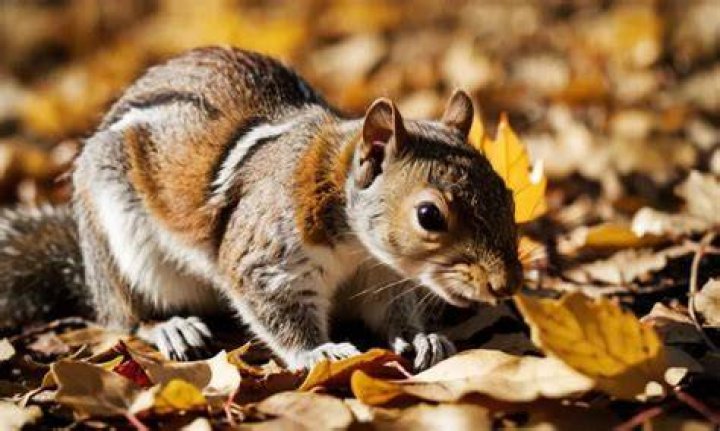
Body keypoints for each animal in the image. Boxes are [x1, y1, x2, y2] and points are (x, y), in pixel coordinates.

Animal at [0, 47, 522, 370]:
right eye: (429, 216)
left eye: (508, 192)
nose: (507, 285)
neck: (356, 246)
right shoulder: (266, 259)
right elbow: (279, 312)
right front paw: (318, 353)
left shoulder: (380, 277)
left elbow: (391, 312)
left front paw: (419, 338)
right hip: (120, 248)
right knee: (120, 318)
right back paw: (169, 328)